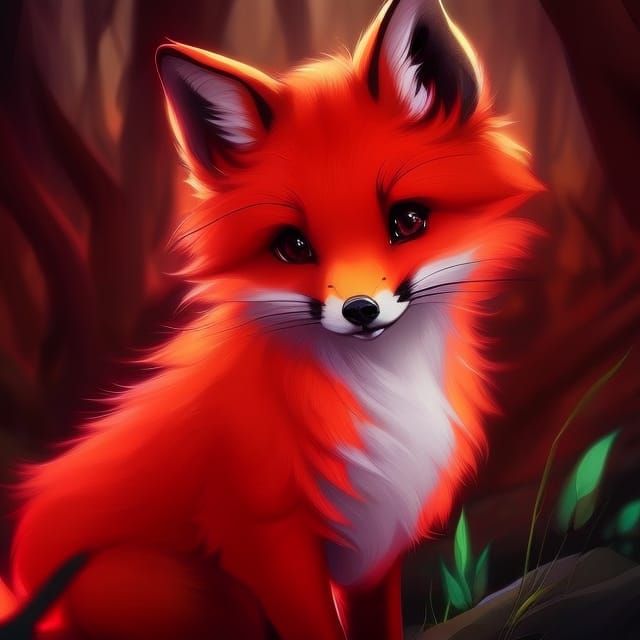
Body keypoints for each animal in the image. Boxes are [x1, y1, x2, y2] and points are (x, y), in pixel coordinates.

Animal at [0, 0, 543, 638]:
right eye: (293, 246)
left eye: (407, 221)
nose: (361, 310)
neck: (379, 391)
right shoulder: (267, 540)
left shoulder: (375, 538)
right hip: (192, 592)